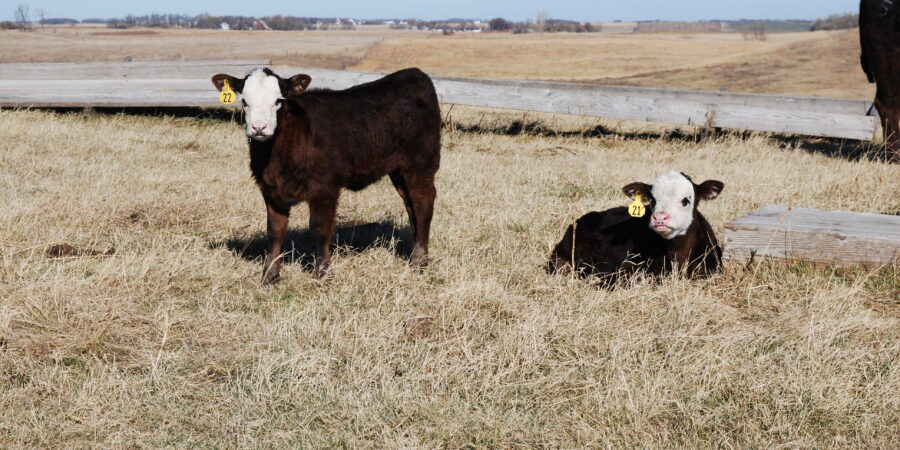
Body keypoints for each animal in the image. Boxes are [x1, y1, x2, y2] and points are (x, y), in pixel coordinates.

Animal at [211, 68, 441, 283]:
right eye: (244, 101)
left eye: (278, 100)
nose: (259, 128)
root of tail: (413, 74)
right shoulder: (270, 189)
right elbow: (275, 231)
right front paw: (269, 275)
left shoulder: (325, 188)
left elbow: (319, 228)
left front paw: (322, 274)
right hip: (399, 170)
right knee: (411, 205)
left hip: (421, 163)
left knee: (423, 202)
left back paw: (419, 261)